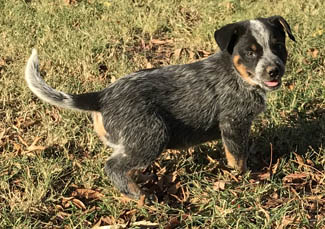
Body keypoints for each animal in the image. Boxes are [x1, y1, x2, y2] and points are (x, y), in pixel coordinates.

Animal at [25, 16, 294, 199]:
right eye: (250, 52)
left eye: (278, 45)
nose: (274, 70)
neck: (238, 75)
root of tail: (102, 96)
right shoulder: (234, 122)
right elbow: (237, 157)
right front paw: (245, 179)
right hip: (153, 135)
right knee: (113, 166)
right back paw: (138, 196)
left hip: (133, 142)